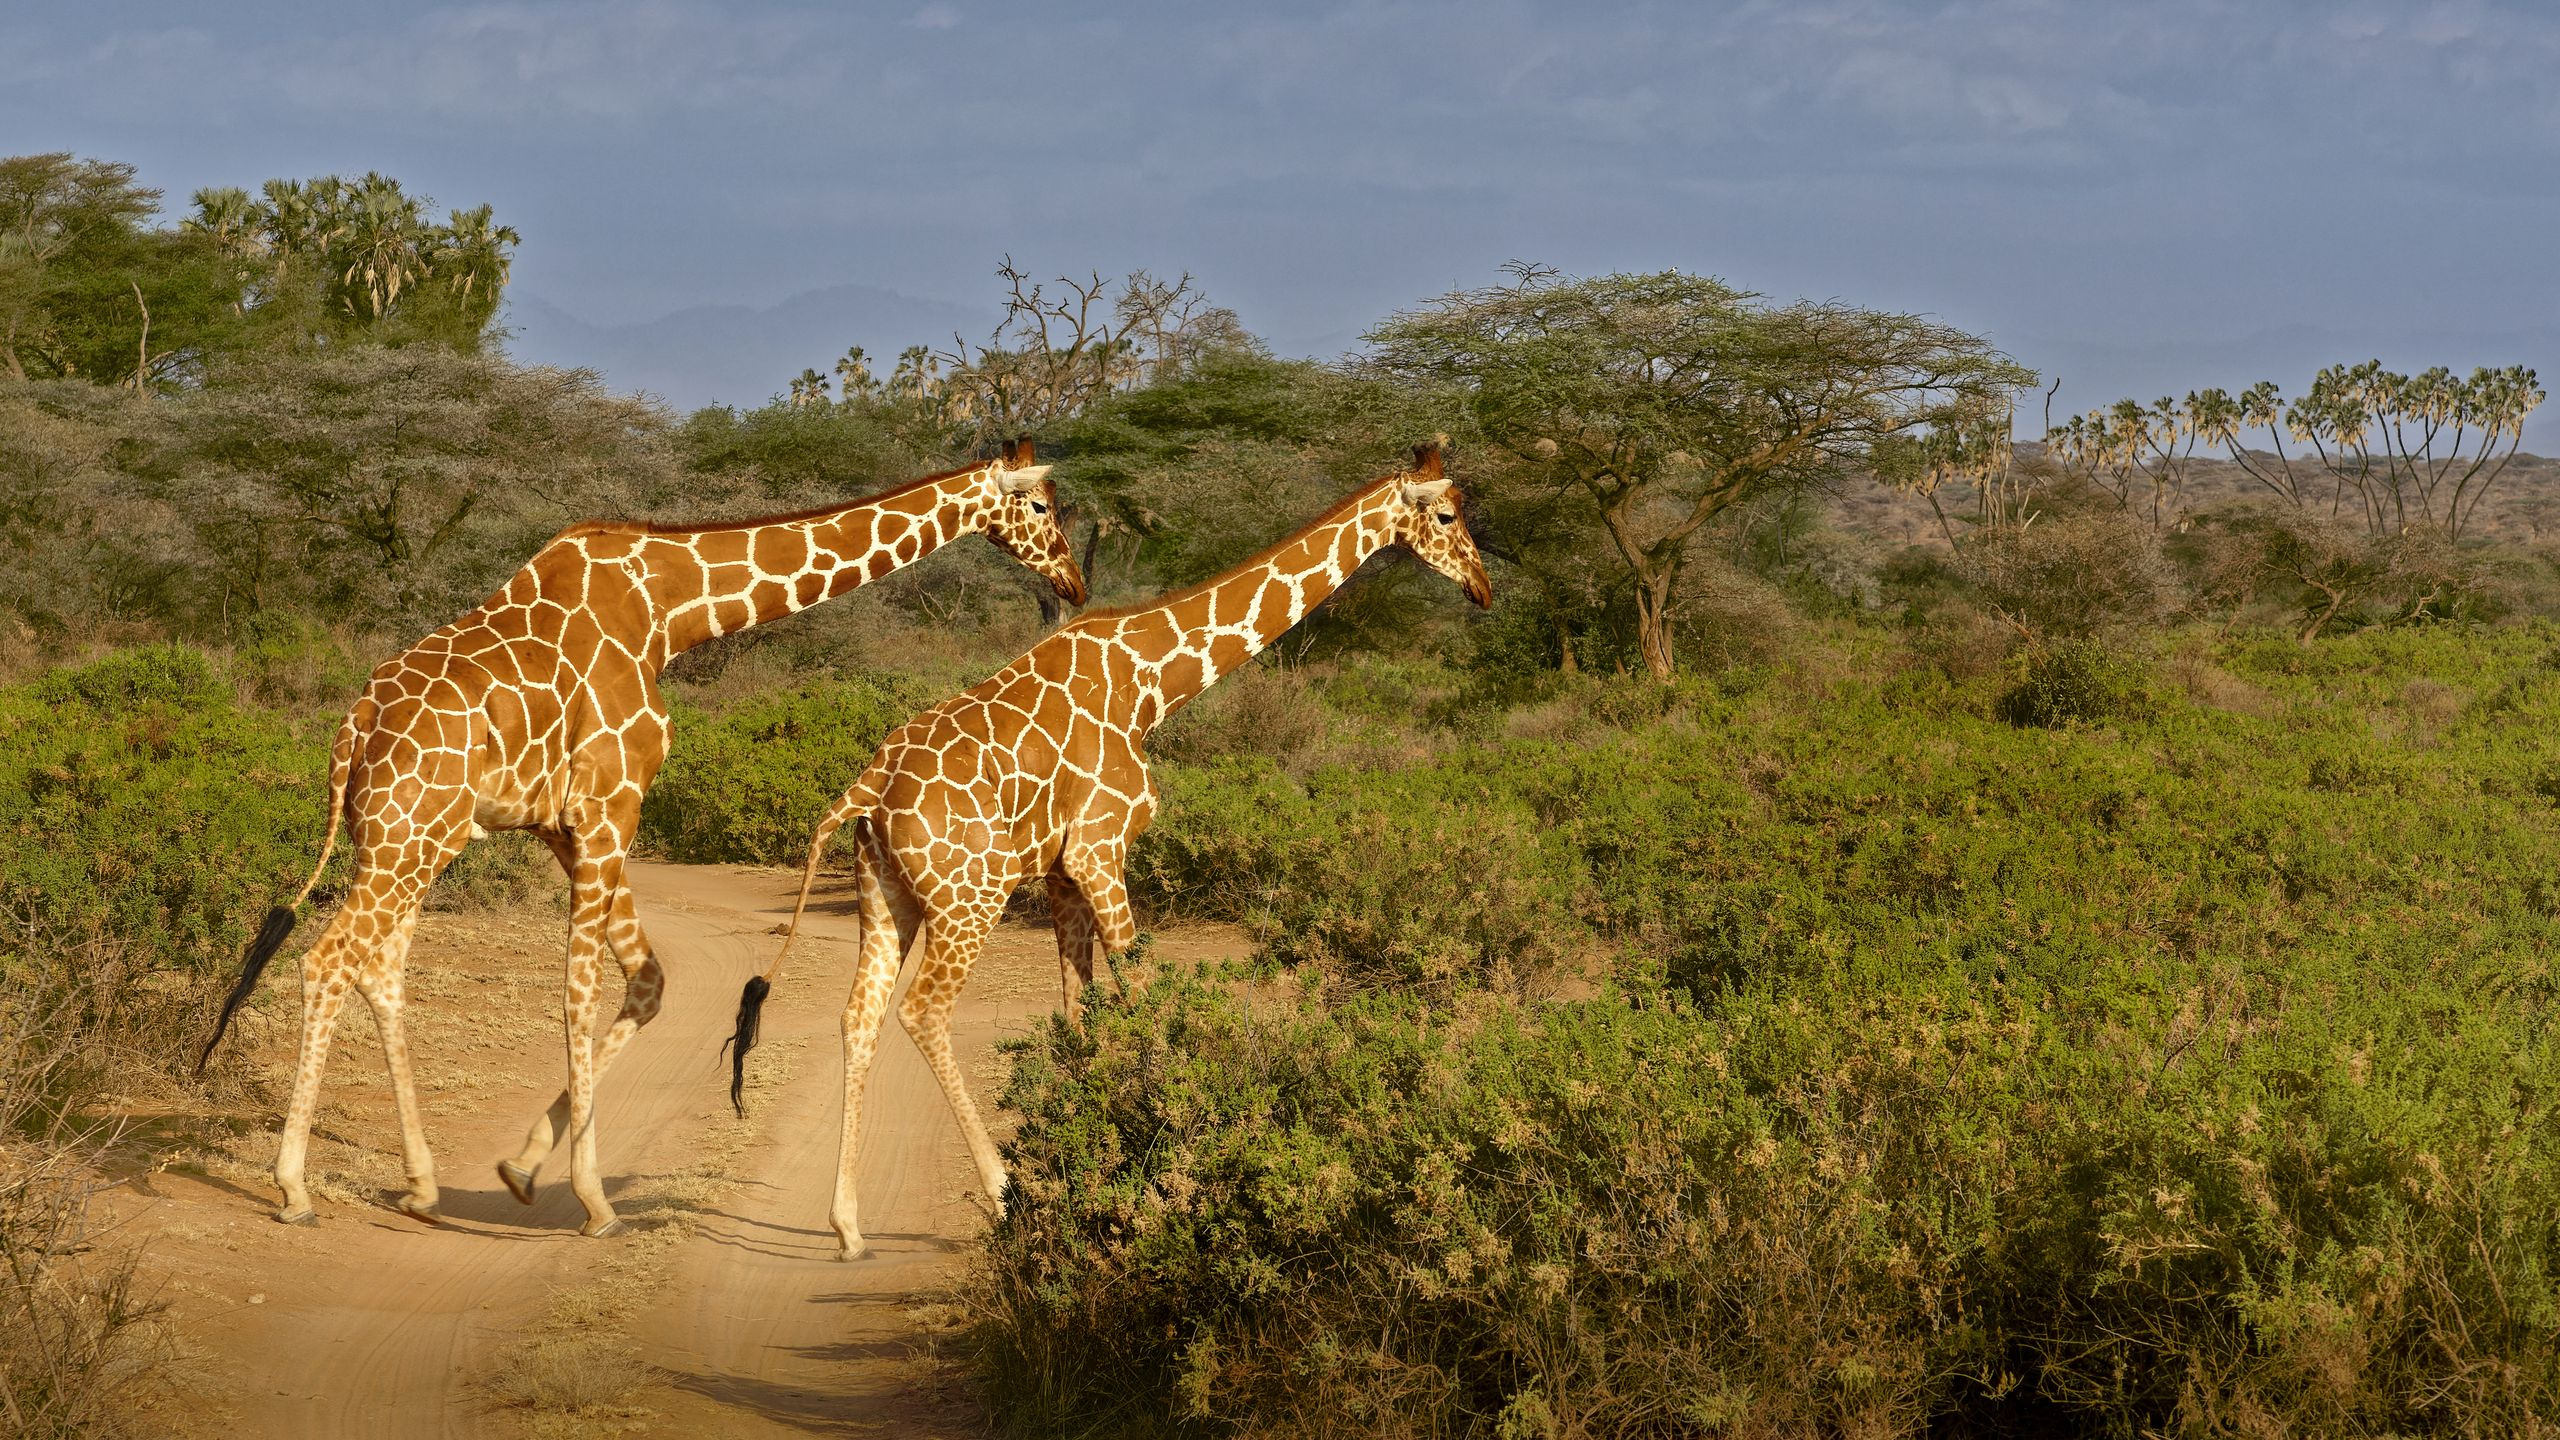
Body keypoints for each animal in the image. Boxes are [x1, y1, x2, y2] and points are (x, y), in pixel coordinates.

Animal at [197, 442, 1086, 1238]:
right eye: (1046, 507)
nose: (1074, 584)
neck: (670, 611)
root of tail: (353, 729)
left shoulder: (567, 823)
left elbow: (648, 981)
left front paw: (524, 1167)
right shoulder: (610, 804)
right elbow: (578, 989)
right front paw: (593, 1199)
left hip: (412, 840)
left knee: (378, 966)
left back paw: (419, 1187)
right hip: (406, 837)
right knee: (328, 960)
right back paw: (293, 1188)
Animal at [727, 440, 1490, 1258]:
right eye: (1448, 515)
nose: (1482, 588)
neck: (1151, 682)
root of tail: (865, 789)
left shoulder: (1062, 872)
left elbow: (1076, 1009)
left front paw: (1083, 1147)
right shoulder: (1101, 847)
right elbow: (1142, 990)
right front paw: (1176, 1148)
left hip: (885, 896)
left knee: (858, 1016)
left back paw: (848, 1226)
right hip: (971, 897)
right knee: (922, 1012)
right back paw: (1002, 1191)